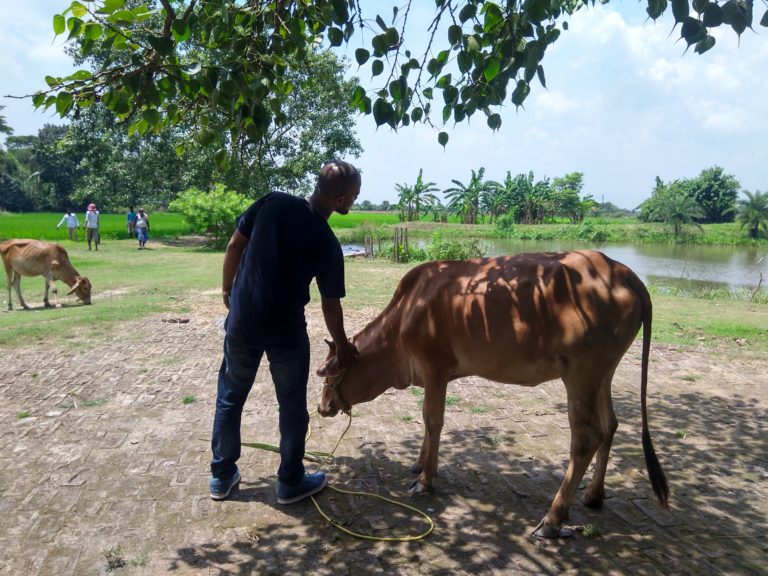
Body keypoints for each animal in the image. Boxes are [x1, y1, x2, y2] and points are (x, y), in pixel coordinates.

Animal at [316, 252, 664, 540]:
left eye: (331, 377)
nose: (322, 407)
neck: (404, 317)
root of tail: (619, 270)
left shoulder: (434, 366)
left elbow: (432, 419)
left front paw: (425, 478)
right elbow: (427, 422)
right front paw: (419, 464)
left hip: (581, 374)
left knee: (586, 438)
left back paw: (552, 520)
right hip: (603, 374)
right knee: (610, 425)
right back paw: (593, 496)